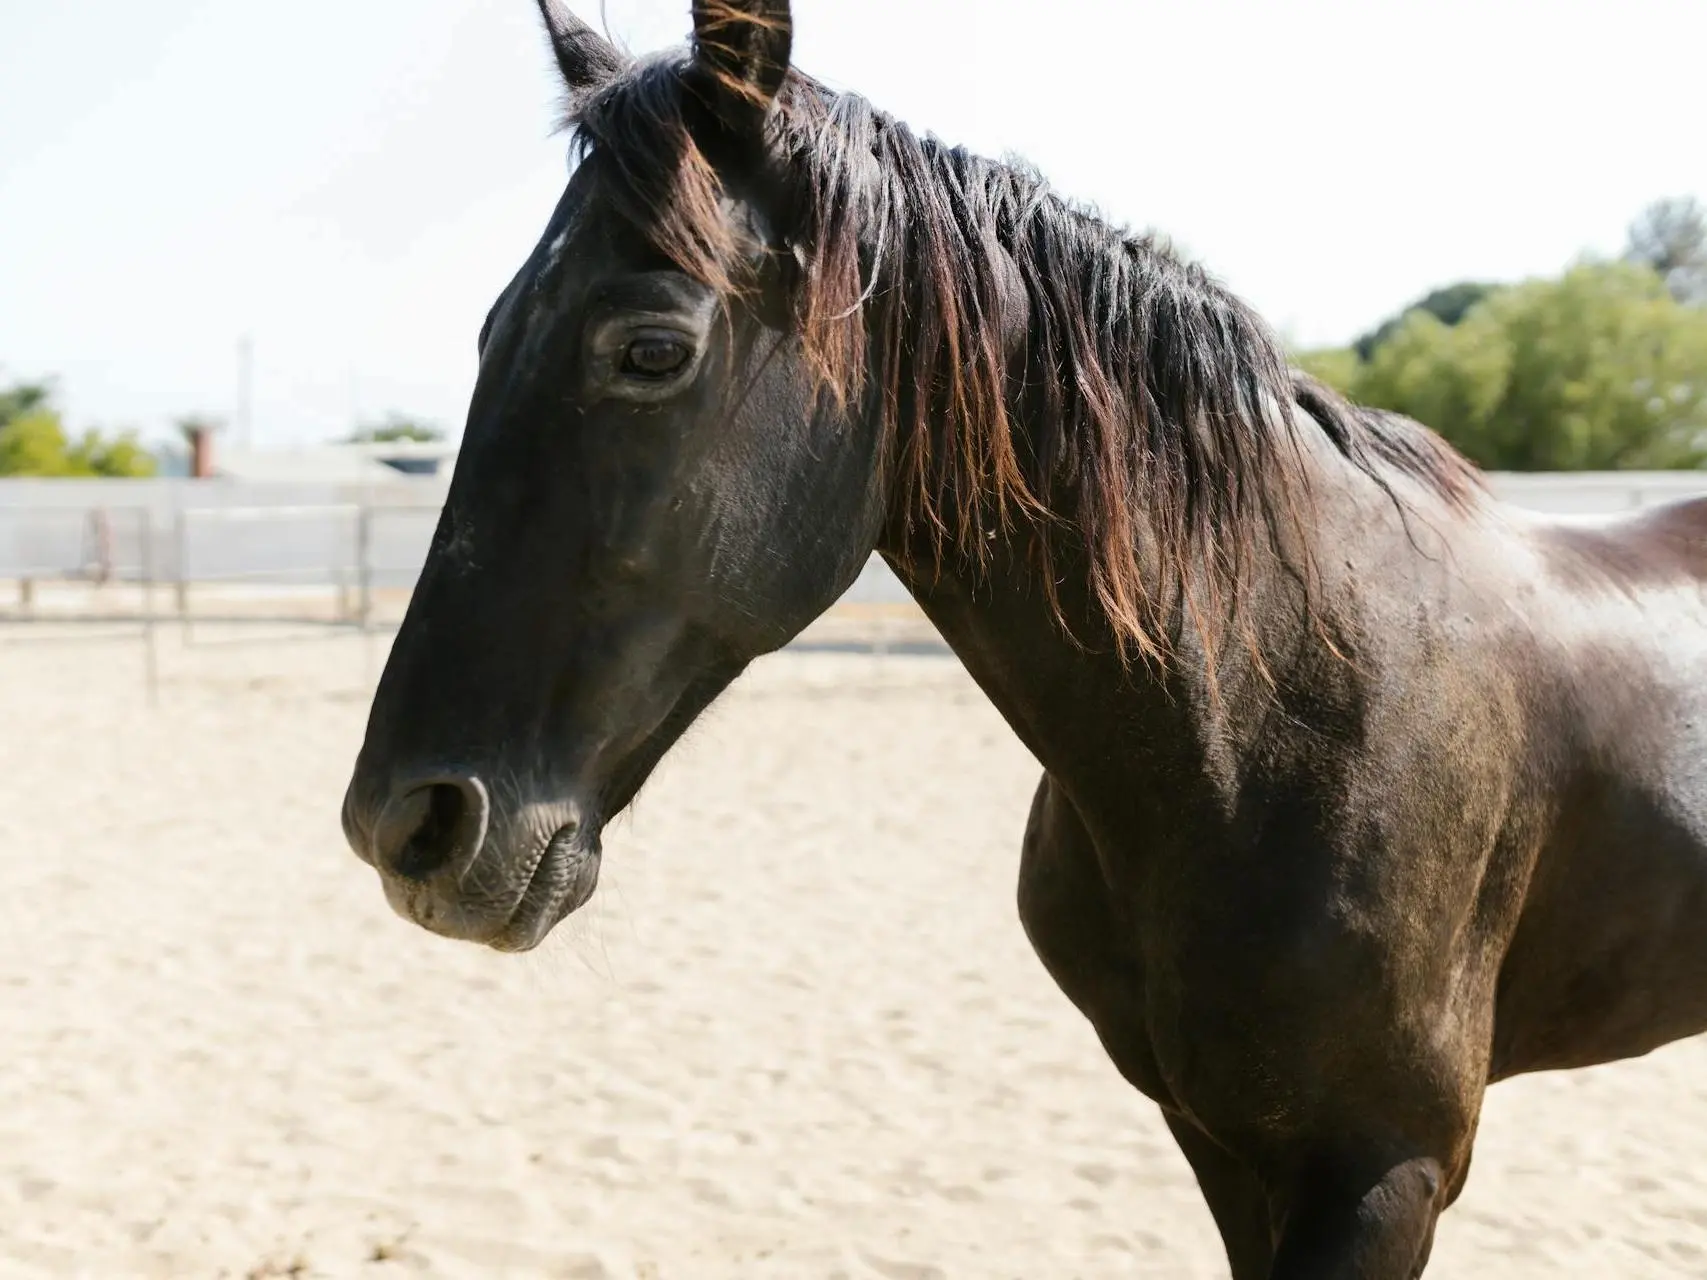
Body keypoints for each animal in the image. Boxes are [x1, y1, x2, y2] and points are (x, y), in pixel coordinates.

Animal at [336, 5, 1707, 1276]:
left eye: (651, 347)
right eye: (491, 331)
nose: (407, 823)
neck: (1275, 713)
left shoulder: (1388, 1170)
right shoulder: (1224, 1143)